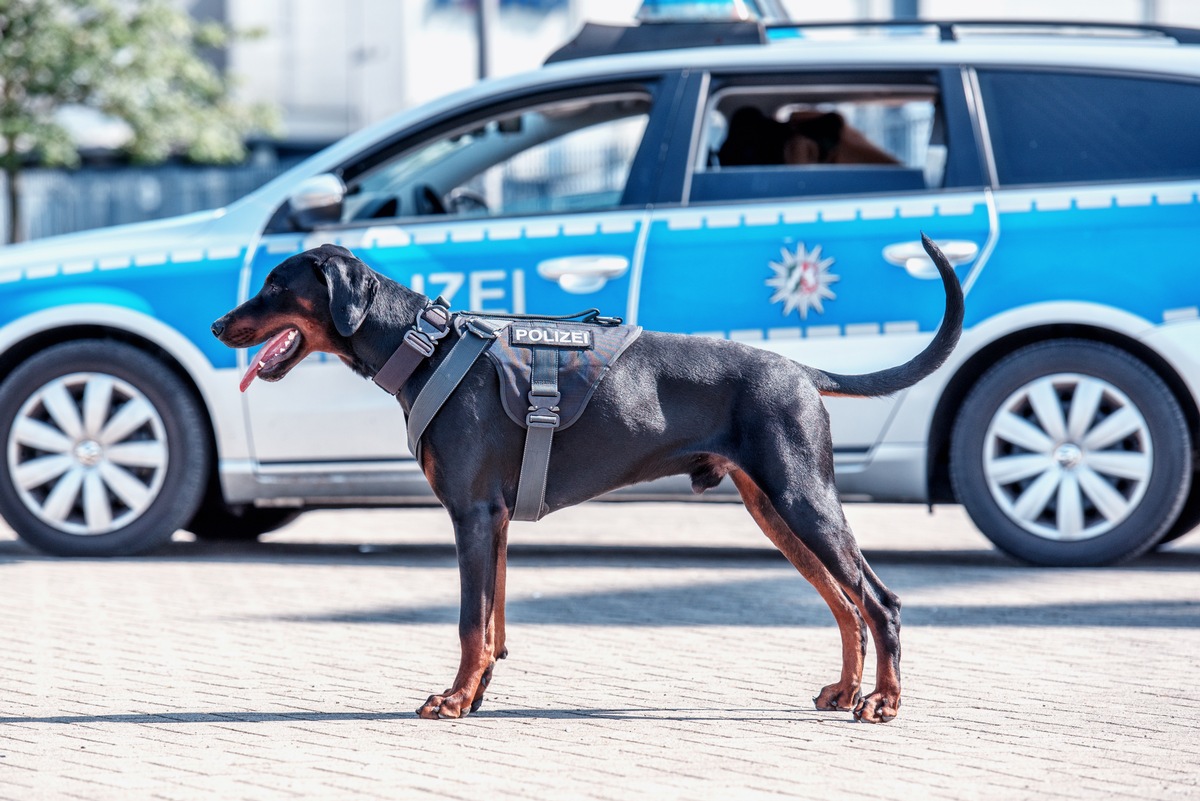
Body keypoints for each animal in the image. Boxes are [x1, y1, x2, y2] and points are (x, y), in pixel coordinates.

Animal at [213, 235, 964, 724]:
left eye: (275, 284)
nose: (218, 322)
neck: (422, 347)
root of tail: (802, 370)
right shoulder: (496, 521)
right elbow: (489, 623)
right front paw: (474, 697)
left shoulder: (472, 514)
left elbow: (469, 622)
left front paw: (453, 700)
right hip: (774, 508)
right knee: (845, 604)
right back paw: (845, 691)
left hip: (802, 498)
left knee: (878, 600)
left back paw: (883, 701)